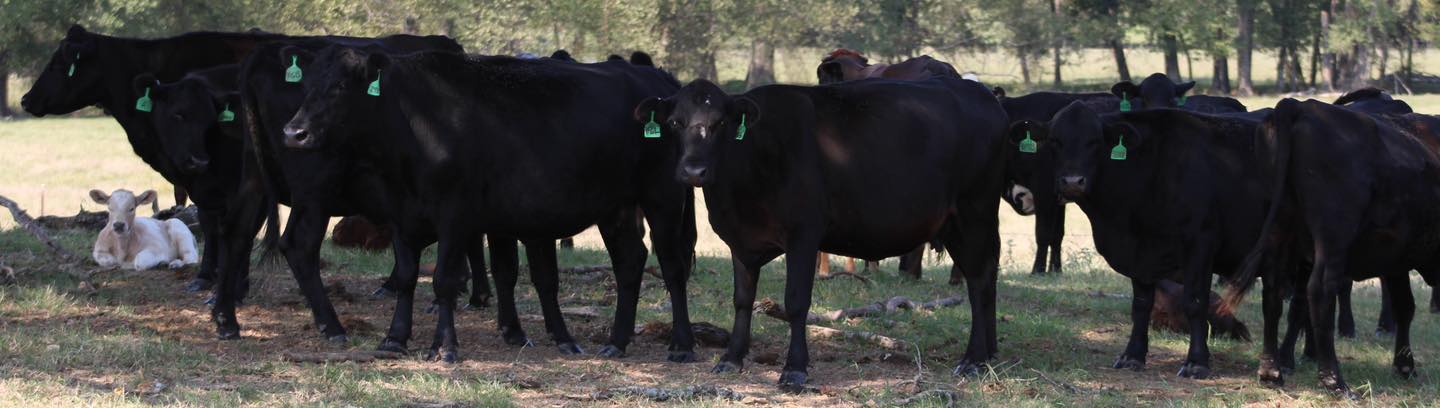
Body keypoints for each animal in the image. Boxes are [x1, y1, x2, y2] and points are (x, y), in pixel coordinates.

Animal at [276, 45, 696, 364]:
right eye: (307, 85)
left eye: (340, 86)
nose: (294, 132)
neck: (415, 127)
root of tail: (660, 82)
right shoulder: (401, 215)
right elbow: (408, 277)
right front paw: (394, 339)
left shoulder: (455, 215)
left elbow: (443, 280)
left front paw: (444, 347)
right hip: (617, 207)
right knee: (630, 262)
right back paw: (617, 342)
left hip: (663, 197)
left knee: (672, 266)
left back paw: (682, 345)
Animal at [636, 78, 1008, 389]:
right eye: (675, 123)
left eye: (721, 123)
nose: (693, 170)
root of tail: (982, 94)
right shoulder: (740, 241)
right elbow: (742, 300)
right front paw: (731, 358)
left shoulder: (803, 235)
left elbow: (796, 302)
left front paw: (794, 369)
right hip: (958, 223)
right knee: (986, 278)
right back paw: (989, 355)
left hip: (974, 213)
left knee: (979, 282)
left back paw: (974, 360)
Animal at [1221, 99, 1440, 397]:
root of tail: (1301, 106)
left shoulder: (1397, 256)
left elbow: (1404, 306)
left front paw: (1404, 366)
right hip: (1332, 235)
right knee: (1320, 290)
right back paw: (1334, 380)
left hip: (1280, 228)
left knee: (1274, 291)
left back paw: (1271, 372)